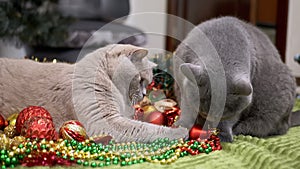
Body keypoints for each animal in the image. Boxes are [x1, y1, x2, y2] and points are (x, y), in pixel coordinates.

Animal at [0, 44, 188, 143]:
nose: (143, 95)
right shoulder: (104, 121)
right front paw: (181, 132)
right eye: (141, 80)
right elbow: (146, 128)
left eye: (148, 84)